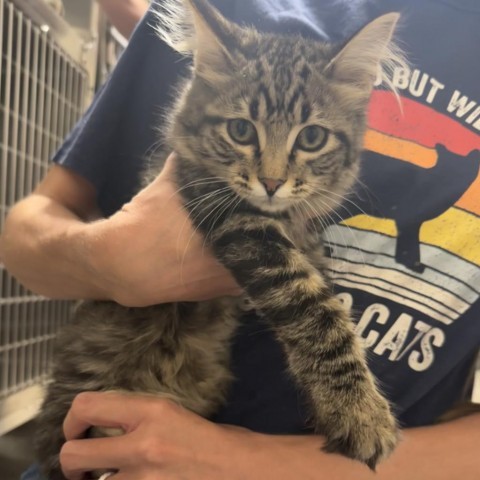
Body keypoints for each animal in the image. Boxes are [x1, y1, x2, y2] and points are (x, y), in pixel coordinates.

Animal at [34, 0, 402, 476]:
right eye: (241, 131)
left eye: (312, 137)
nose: (272, 183)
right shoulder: (230, 215)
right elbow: (314, 308)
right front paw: (359, 411)